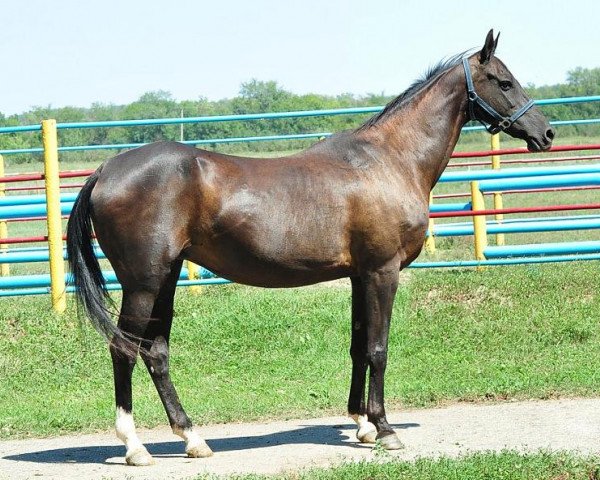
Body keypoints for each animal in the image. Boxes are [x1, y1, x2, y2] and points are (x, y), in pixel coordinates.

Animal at [65, 30, 552, 464]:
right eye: (504, 82)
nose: (545, 133)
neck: (390, 161)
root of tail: (107, 169)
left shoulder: (359, 275)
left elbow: (359, 345)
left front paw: (361, 424)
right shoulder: (382, 271)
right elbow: (379, 348)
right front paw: (386, 429)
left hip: (164, 280)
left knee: (156, 353)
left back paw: (193, 439)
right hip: (143, 284)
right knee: (124, 350)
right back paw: (135, 448)